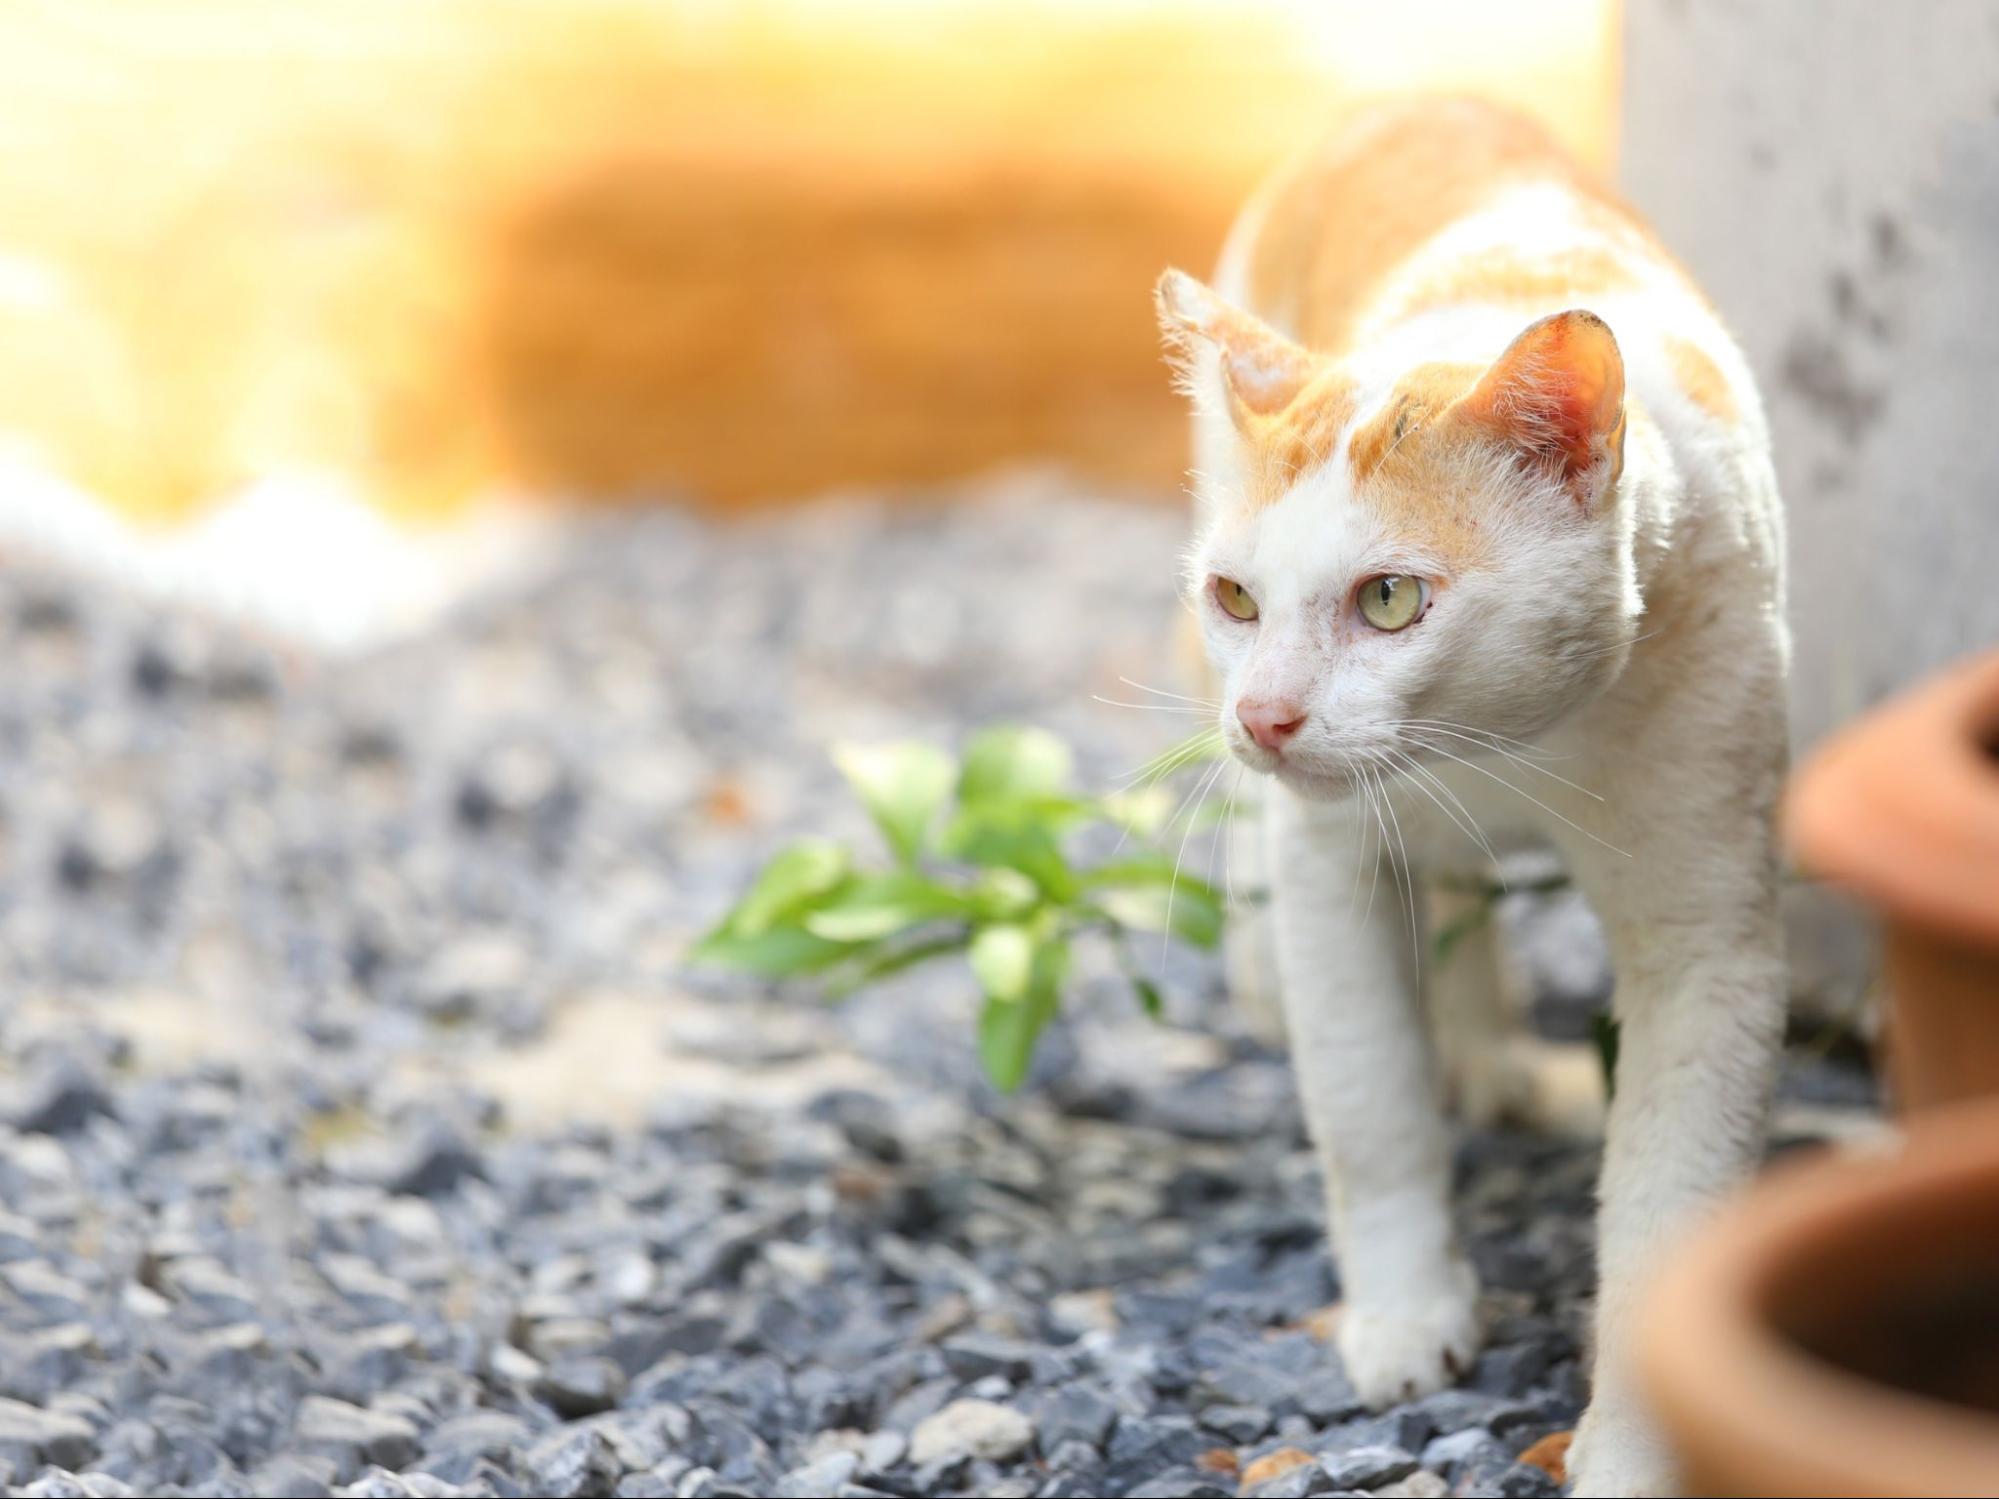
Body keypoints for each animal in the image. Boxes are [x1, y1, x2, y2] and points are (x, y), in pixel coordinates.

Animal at [1159, 99, 1799, 1495]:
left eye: (1391, 599)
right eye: (1236, 597)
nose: (1265, 715)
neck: (1508, 745)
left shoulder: (1711, 931)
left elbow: (1668, 1201)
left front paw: (1634, 1450)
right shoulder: (1327, 864)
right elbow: (1368, 1107)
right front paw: (1403, 1319)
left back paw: (1487, 1053)